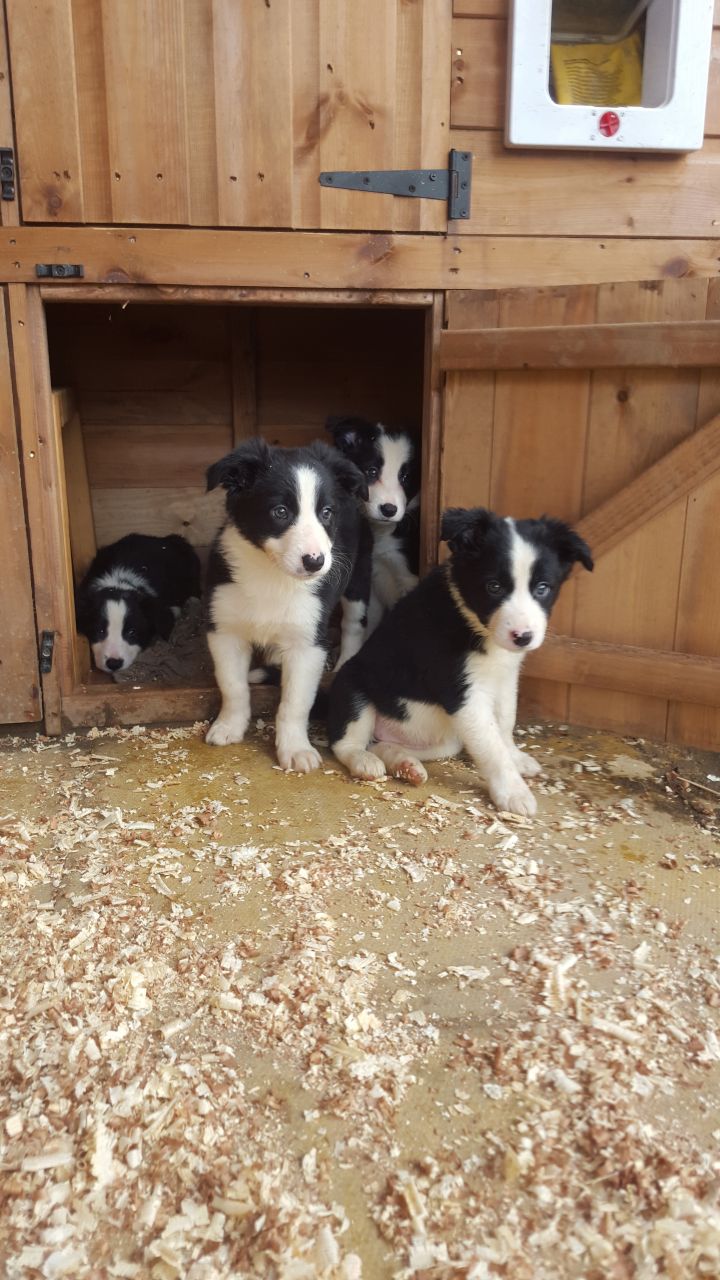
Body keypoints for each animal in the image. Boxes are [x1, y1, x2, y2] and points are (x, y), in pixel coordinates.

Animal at [204, 435, 366, 773]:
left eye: (326, 513)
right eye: (280, 511)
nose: (315, 562)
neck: (272, 574)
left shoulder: (308, 643)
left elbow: (295, 702)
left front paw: (295, 749)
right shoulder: (224, 630)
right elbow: (232, 685)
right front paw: (229, 727)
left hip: (358, 576)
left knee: (352, 623)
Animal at [327, 504, 591, 814]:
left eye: (542, 588)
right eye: (493, 587)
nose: (523, 637)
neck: (472, 620)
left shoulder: (505, 677)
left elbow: (505, 721)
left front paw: (515, 757)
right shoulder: (462, 693)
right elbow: (490, 745)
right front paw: (513, 792)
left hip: (444, 738)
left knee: (381, 743)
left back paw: (405, 764)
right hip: (353, 685)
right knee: (347, 743)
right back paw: (365, 762)